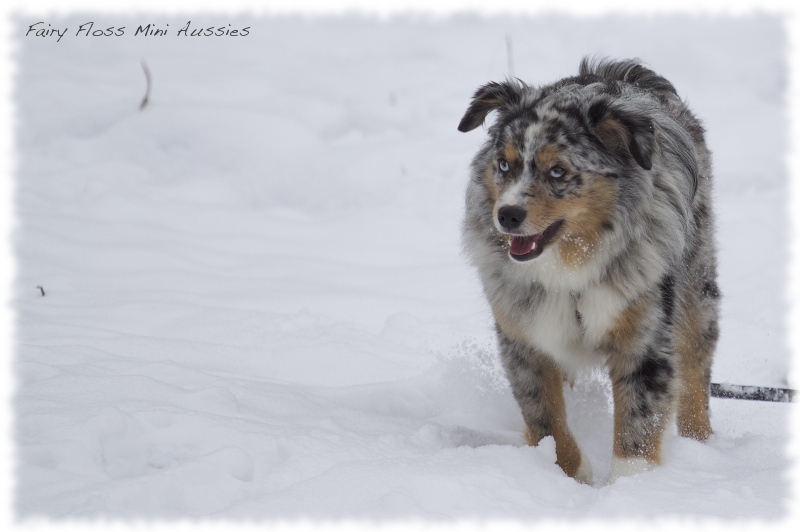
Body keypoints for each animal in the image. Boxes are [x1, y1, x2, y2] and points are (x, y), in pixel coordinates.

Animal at [460, 57, 720, 482]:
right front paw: (571, 476)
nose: (508, 215)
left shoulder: (644, 339)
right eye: (503, 164)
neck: (569, 271)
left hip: (697, 289)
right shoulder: (523, 337)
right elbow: (545, 419)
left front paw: (629, 488)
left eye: (557, 171)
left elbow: (636, 432)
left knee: (696, 367)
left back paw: (701, 446)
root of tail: (620, 69)